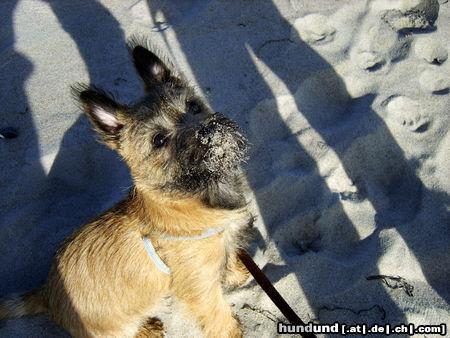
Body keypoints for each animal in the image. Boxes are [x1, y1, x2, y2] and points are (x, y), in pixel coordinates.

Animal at [0, 40, 253, 338]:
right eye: (159, 140)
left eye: (192, 106)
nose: (208, 131)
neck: (193, 194)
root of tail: (47, 294)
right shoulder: (201, 287)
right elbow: (217, 312)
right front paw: (231, 331)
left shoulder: (223, 248)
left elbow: (228, 260)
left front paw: (238, 274)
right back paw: (147, 329)